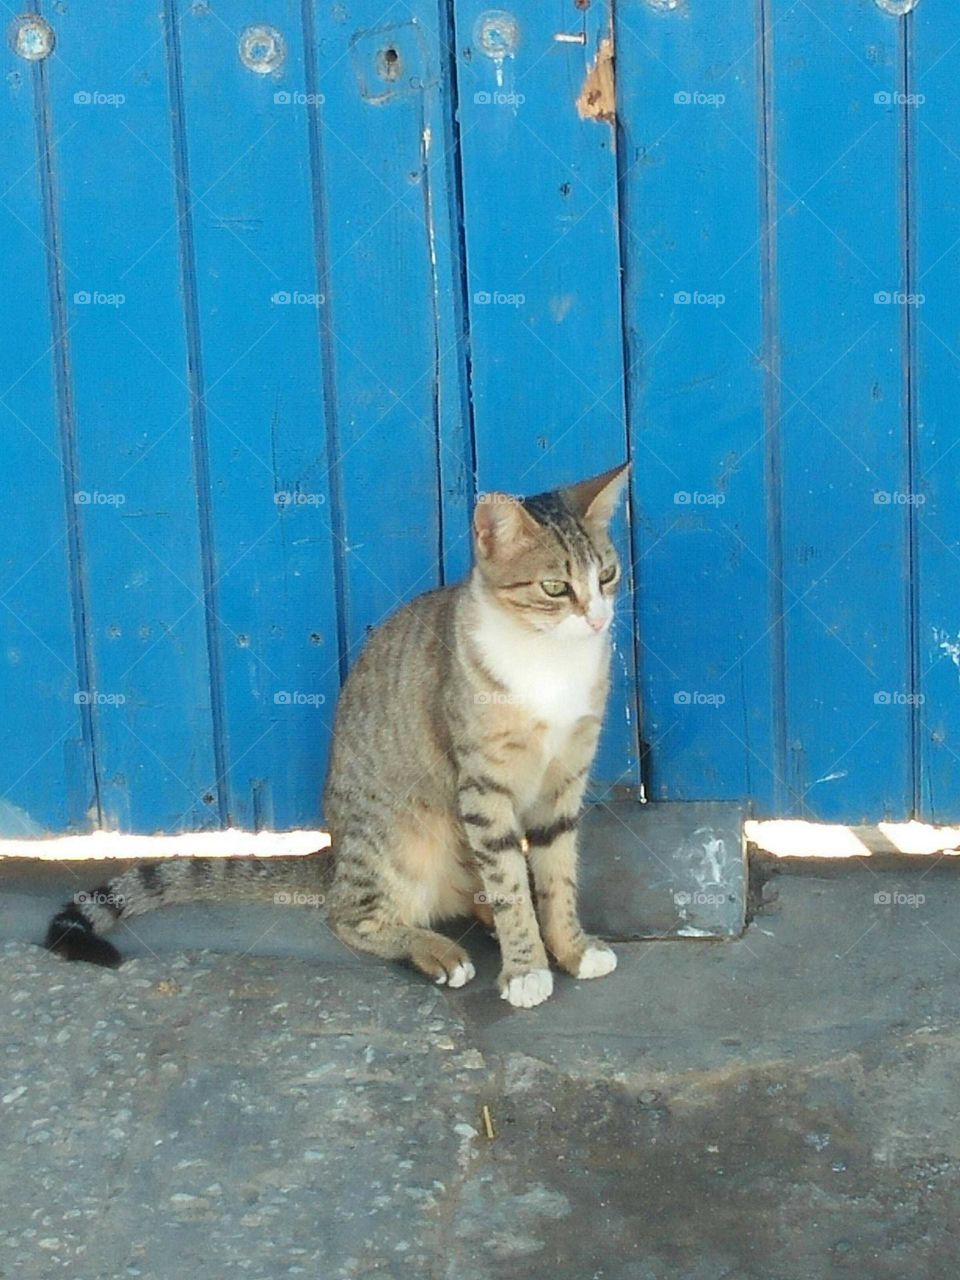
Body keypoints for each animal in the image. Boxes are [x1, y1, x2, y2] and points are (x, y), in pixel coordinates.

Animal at [45, 460, 632, 1008]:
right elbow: (508, 885)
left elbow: (557, 874)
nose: (599, 619)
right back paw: (437, 951)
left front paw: (571, 947)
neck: (550, 661)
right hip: (401, 840)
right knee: (350, 916)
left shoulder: (567, 778)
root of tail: (331, 852)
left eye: (607, 575)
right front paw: (527, 969)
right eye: (555, 587)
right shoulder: (485, 787)